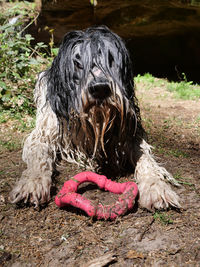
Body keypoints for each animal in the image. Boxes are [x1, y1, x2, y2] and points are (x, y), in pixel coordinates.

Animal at [9, 26, 181, 210]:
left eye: (111, 59)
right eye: (77, 63)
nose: (100, 88)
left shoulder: (129, 135)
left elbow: (145, 158)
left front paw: (155, 186)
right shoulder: (45, 132)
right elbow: (39, 154)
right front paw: (32, 183)